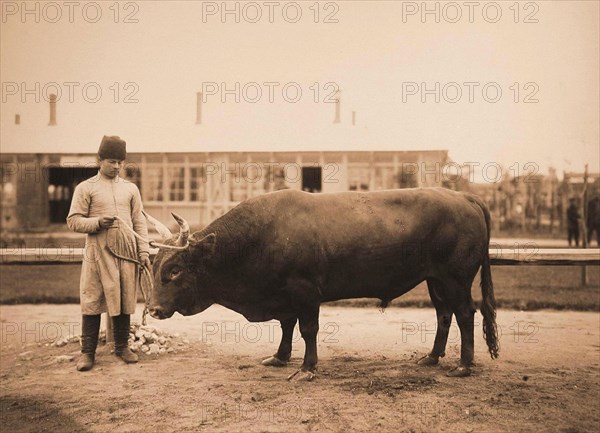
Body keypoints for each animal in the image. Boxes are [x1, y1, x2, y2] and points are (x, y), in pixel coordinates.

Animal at [148, 187, 500, 380]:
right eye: (154, 267)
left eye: (175, 270)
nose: (152, 308)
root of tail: (463, 196)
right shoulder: (284, 296)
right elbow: (287, 325)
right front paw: (280, 357)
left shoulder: (304, 291)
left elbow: (307, 329)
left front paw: (307, 368)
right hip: (435, 280)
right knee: (444, 315)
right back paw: (431, 356)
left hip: (455, 279)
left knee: (465, 314)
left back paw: (464, 365)